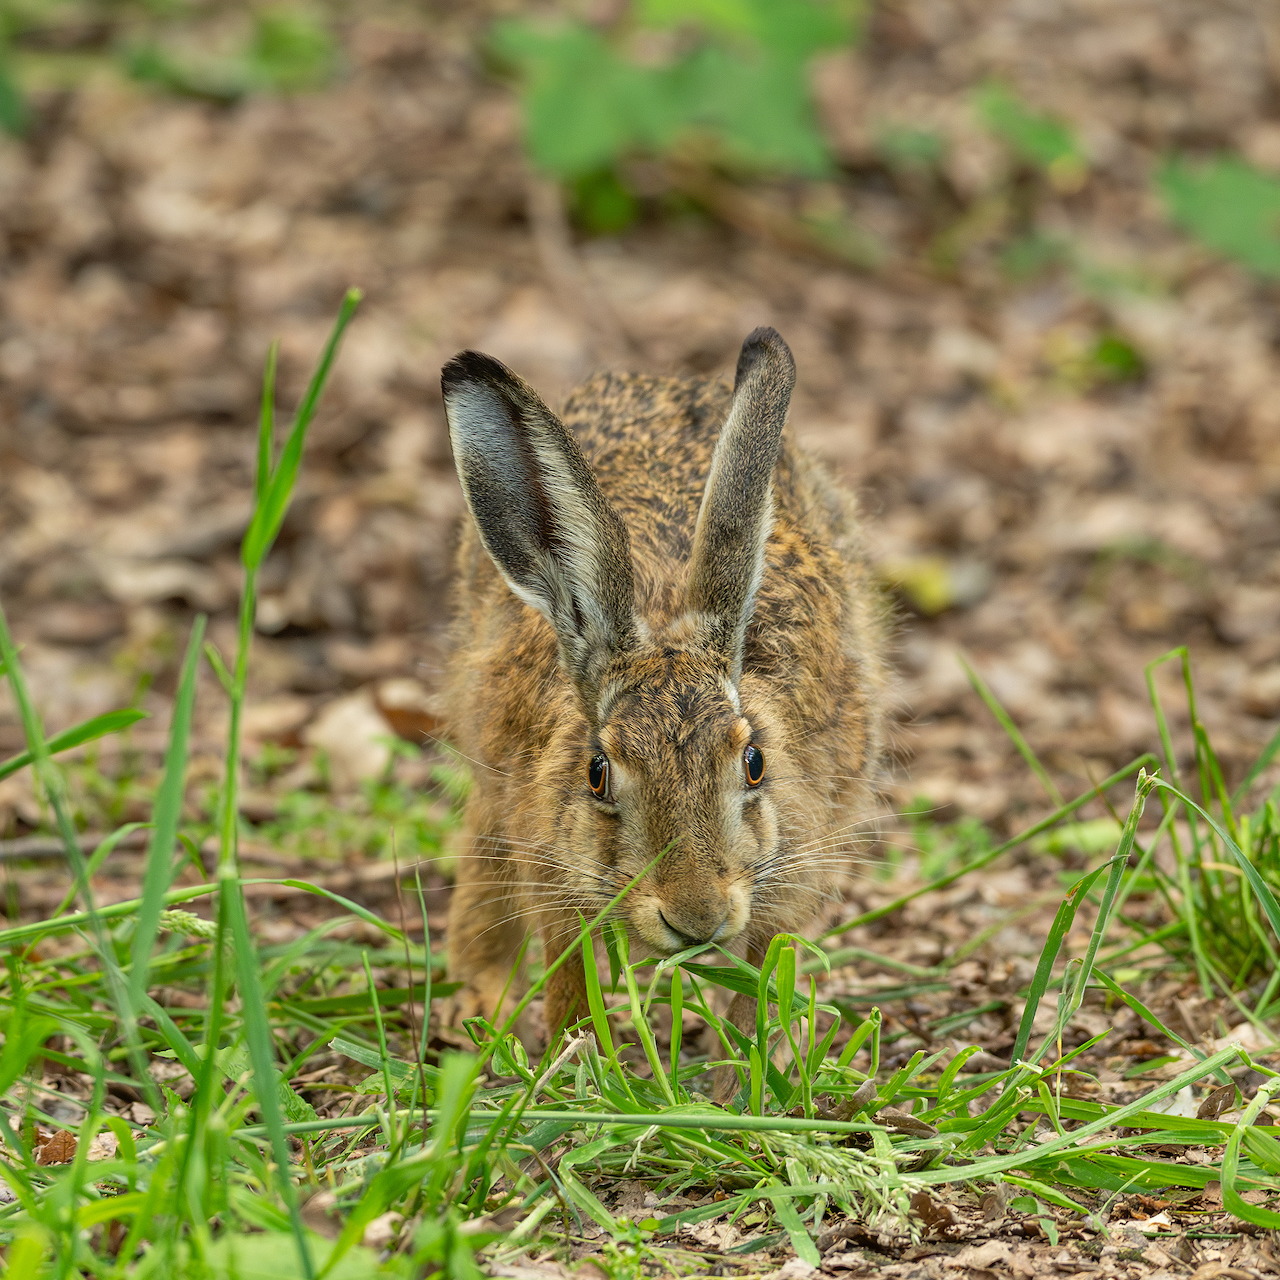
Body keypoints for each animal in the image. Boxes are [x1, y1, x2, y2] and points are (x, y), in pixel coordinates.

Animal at [439, 327, 887, 1043]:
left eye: (754, 763)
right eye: (597, 774)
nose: (697, 917)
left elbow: (767, 970)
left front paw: (752, 1061)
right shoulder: (552, 864)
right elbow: (570, 979)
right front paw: (578, 1055)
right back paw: (477, 1004)